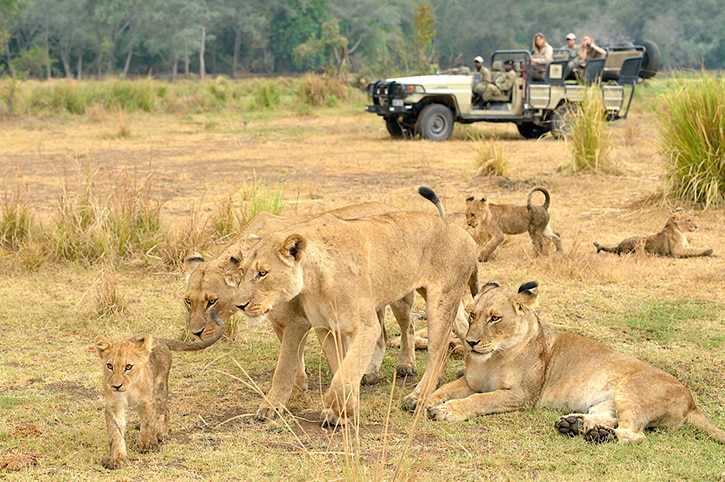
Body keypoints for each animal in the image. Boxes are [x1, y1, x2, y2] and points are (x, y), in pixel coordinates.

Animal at [95, 313, 224, 469]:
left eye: (128, 367)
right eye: (109, 366)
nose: (116, 386)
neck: (129, 389)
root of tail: (159, 339)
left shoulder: (147, 401)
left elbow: (148, 422)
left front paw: (147, 445)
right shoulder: (114, 405)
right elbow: (115, 432)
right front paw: (116, 458)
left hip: (159, 388)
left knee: (164, 411)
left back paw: (160, 433)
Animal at [426, 281, 725, 445]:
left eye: (495, 318)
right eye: (472, 315)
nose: (471, 342)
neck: (494, 356)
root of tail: (692, 401)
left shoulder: (521, 396)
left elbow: (478, 400)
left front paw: (447, 411)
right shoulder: (471, 381)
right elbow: (446, 389)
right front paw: (424, 401)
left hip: (631, 390)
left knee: (634, 433)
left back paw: (599, 436)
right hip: (608, 401)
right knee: (609, 418)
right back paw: (575, 425)